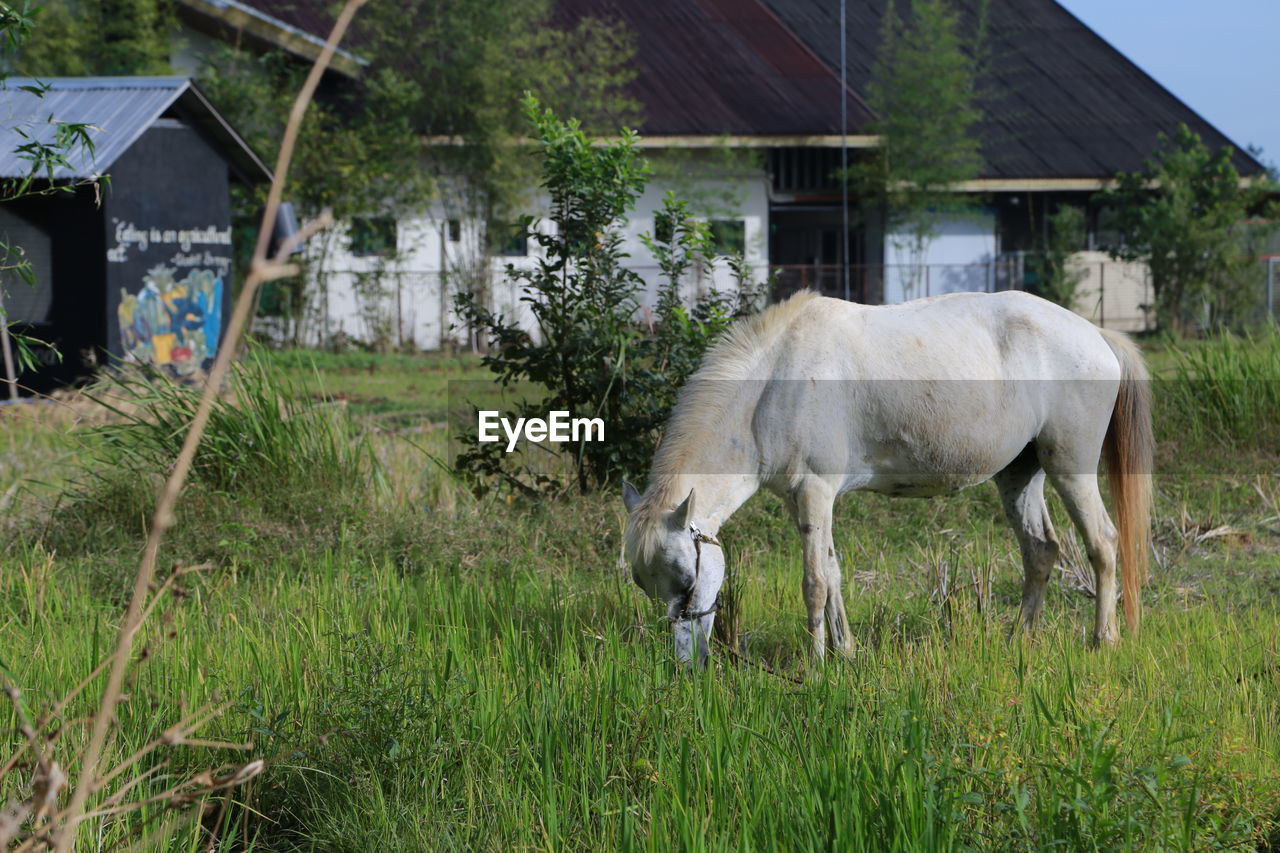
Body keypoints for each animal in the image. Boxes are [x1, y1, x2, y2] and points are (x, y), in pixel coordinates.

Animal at [624, 292, 1157, 666]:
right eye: (649, 587)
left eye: (688, 581)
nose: (685, 664)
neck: (774, 382)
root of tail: (1096, 334)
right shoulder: (806, 501)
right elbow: (834, 573)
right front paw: (845, 653)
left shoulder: (815, 493)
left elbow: (815, 582)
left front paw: (815, 665)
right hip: (1019, 475)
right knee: (1041, 551)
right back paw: (1018, 638)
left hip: (1071, 467)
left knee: (1103, 543)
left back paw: (1103, 640)